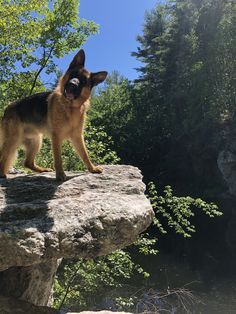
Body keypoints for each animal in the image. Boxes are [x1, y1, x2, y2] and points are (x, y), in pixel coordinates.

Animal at [0, 50, 108, 180]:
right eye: (72, 75)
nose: (72, 84)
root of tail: (7, 108)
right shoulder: (56, 137)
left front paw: (92, 168)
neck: (70, 107)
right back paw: (2, 173)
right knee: (4, 157)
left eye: (83, 82)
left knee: (27, 162)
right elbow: (58, 159)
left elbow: (85, 155)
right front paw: (60, 174)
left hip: (36, 141)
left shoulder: (77, 137)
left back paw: (42, 170)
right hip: (13, 140)